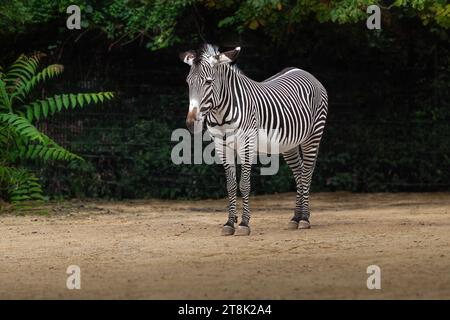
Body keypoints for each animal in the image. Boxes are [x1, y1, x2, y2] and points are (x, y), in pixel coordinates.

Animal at [181, 43, 328, 236]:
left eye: (208, 82)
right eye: (188, 82)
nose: (191, 124)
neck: (220, 115)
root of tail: (305, 72)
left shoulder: (247, 144)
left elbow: (244, 184)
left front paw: (244, 224)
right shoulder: (222, 147)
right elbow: (230, 185)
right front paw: (229, 223)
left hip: (313, 136)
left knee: (306, 174)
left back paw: (304, 218)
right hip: (289, 144)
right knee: (299, 172)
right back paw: (296, 218)